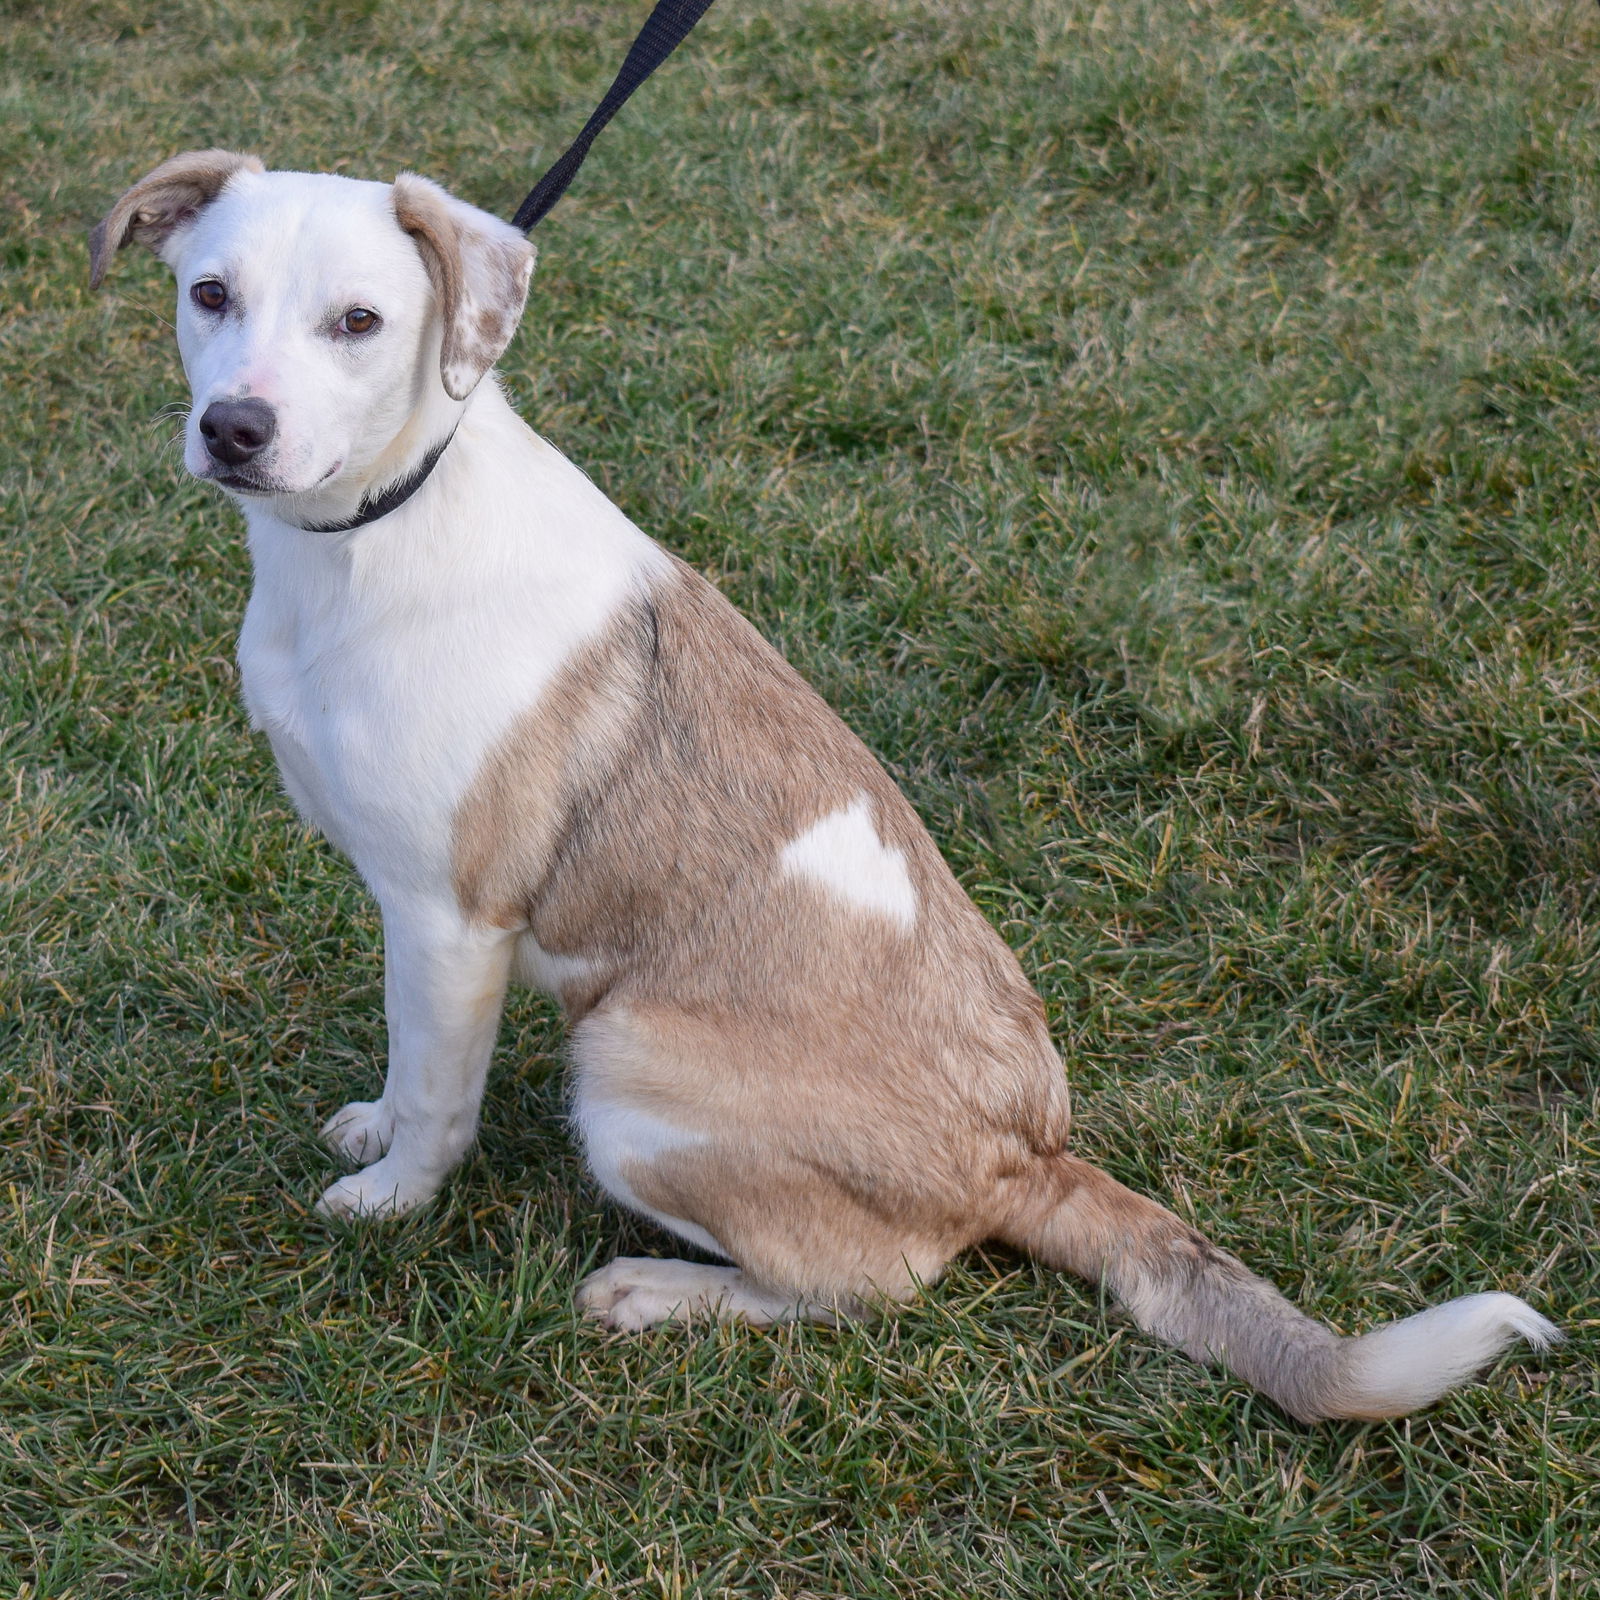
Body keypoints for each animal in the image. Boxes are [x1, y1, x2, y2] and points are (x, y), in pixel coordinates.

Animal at [93, 152, 1555, 1427]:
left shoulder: (452, 917)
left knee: (878, 1280)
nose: (235, 430)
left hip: (627, 1077)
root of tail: (1025, 1150)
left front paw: (394, 1198)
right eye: (208, 293)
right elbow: (408, 1071)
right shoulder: (417, 923)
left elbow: (440, 1096)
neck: (372, 532)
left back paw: (662, 1289)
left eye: (361, 321)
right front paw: (372, 1132)